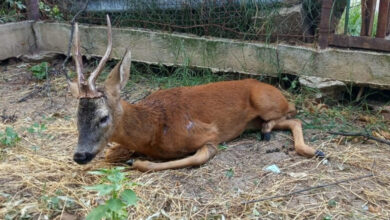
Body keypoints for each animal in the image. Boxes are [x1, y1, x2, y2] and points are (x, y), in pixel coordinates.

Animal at [68, 16, 324, 173]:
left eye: (103, 117)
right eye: (76, 117)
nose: (79, 156)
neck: (153, 129)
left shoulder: (209, 134)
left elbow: (193, 157)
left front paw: (136, 160)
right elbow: (110, 153)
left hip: (265, 101)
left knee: (294, 115)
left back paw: (309, 147)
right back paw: (269, 132)